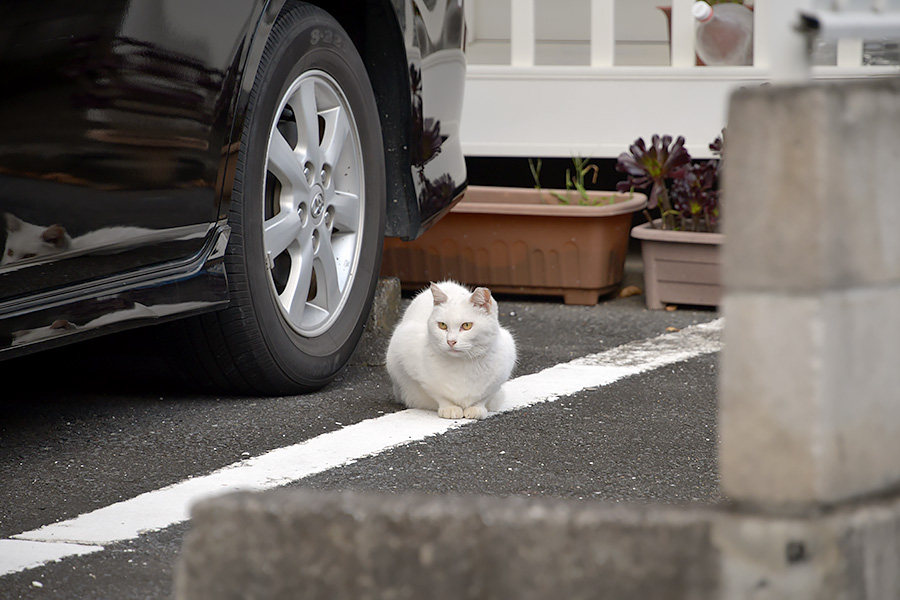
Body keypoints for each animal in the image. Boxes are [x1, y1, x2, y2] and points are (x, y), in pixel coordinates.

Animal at [384, 280, 516, 418]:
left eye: (467, 325)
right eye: (442, 325)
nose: (450, 341)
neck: (463, 365)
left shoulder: (498, 379)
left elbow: (483, 397)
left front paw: (476, 408)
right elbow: (439, 394)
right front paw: (450, 408)